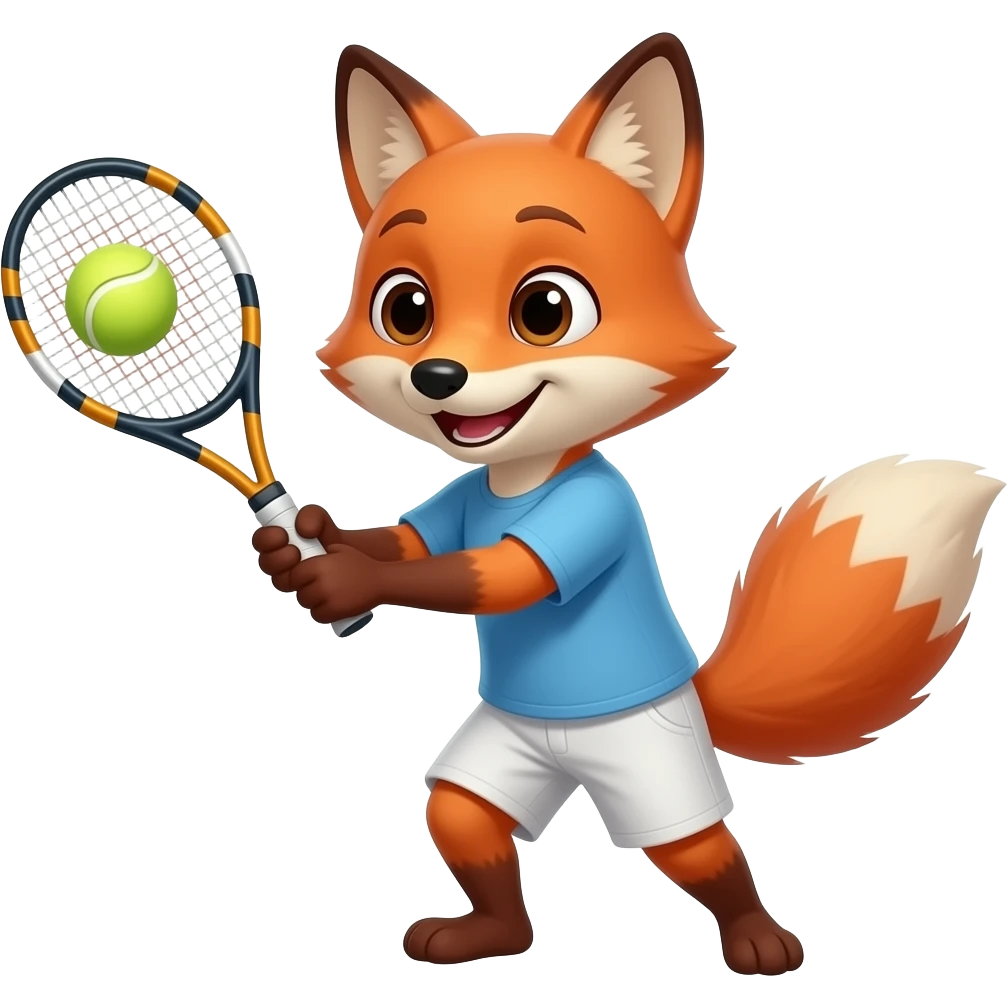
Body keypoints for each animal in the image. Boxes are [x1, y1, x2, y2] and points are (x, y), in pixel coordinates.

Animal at [251, 34, 1005, 974]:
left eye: (545, 309)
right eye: (405, 309)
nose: (438, 377)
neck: (522, 474)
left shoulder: (593, 508)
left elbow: (500, 573)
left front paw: (341, 580)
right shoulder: (462, 499)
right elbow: (418, 546)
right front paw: (314, 542)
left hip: (656, 762)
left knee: (700, 848)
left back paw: (757, 939)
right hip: (504, 755)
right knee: (464, 813)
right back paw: (492, 931)